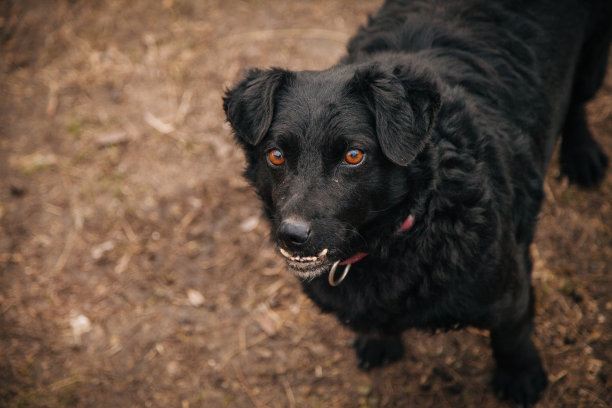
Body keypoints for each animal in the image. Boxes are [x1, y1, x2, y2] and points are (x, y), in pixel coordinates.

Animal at [222, 1, 608, 406]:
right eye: (276, 156)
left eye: (354, 156)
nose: (292, 236)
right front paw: (379, 342)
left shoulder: (510, 290)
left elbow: (512, 336)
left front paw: (522, 377)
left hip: (592, 61)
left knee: (577, 104)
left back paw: (582, 155)